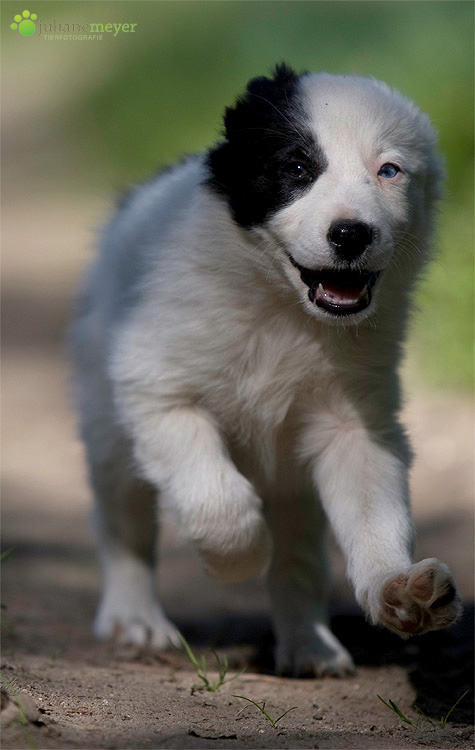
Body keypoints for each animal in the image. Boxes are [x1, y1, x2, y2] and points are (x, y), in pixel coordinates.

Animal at [72, 63, 462, 676]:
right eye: (297, 168)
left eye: (389, 170)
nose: (351, 233)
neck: (283, 310)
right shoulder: (156, 388)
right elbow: (216, 498)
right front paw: (236, 558)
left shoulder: (357, 425)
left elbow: (375, 516)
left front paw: (399, 591)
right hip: (108, 426)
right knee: (122, 524)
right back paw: (134, 618)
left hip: (292, 481)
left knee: (299, 561)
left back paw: (309, 645)